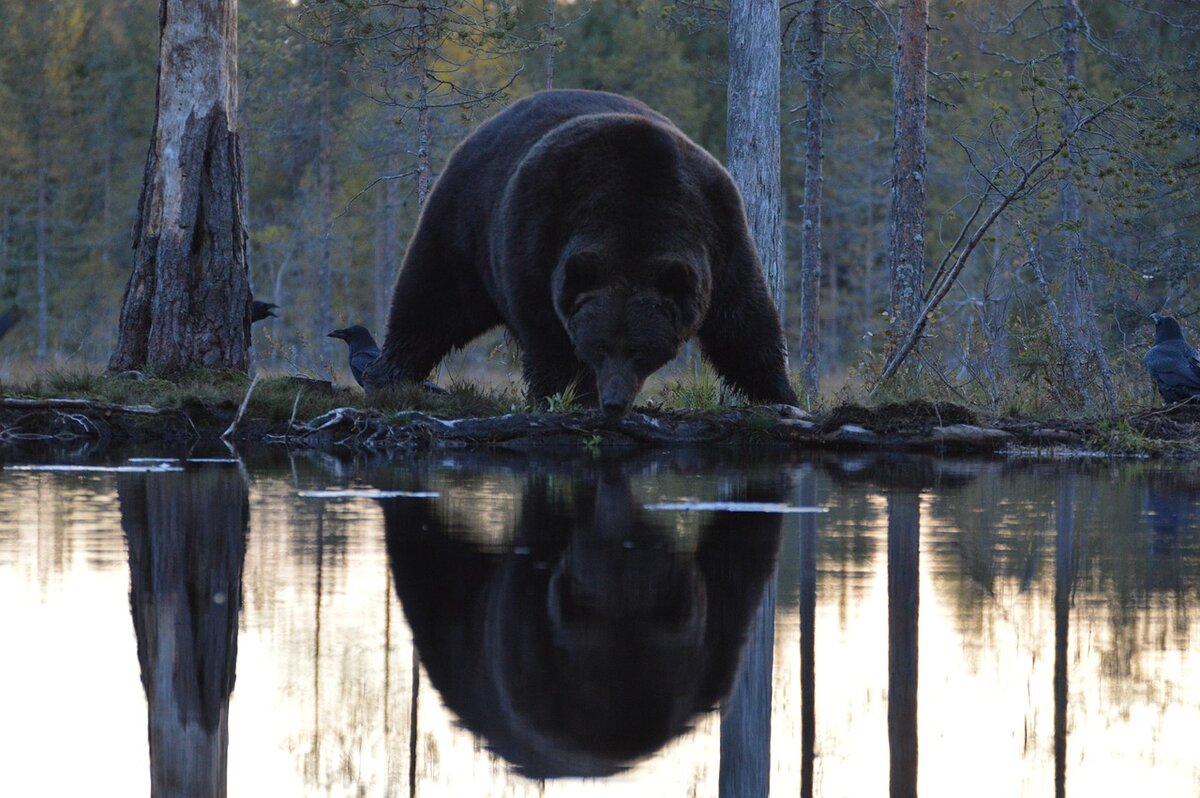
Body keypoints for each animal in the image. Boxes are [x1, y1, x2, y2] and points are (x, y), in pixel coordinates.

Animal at [364, 88, 796, 417]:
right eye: (600, 347)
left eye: (640, 351)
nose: (615, 403)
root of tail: (485, 128)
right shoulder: (539, 236)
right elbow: (549, 337)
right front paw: (569, 395)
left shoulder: (720, 231)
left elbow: (743, 322)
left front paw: (780, 394)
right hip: (464, 224)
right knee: (431, 300)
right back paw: (389, 374)